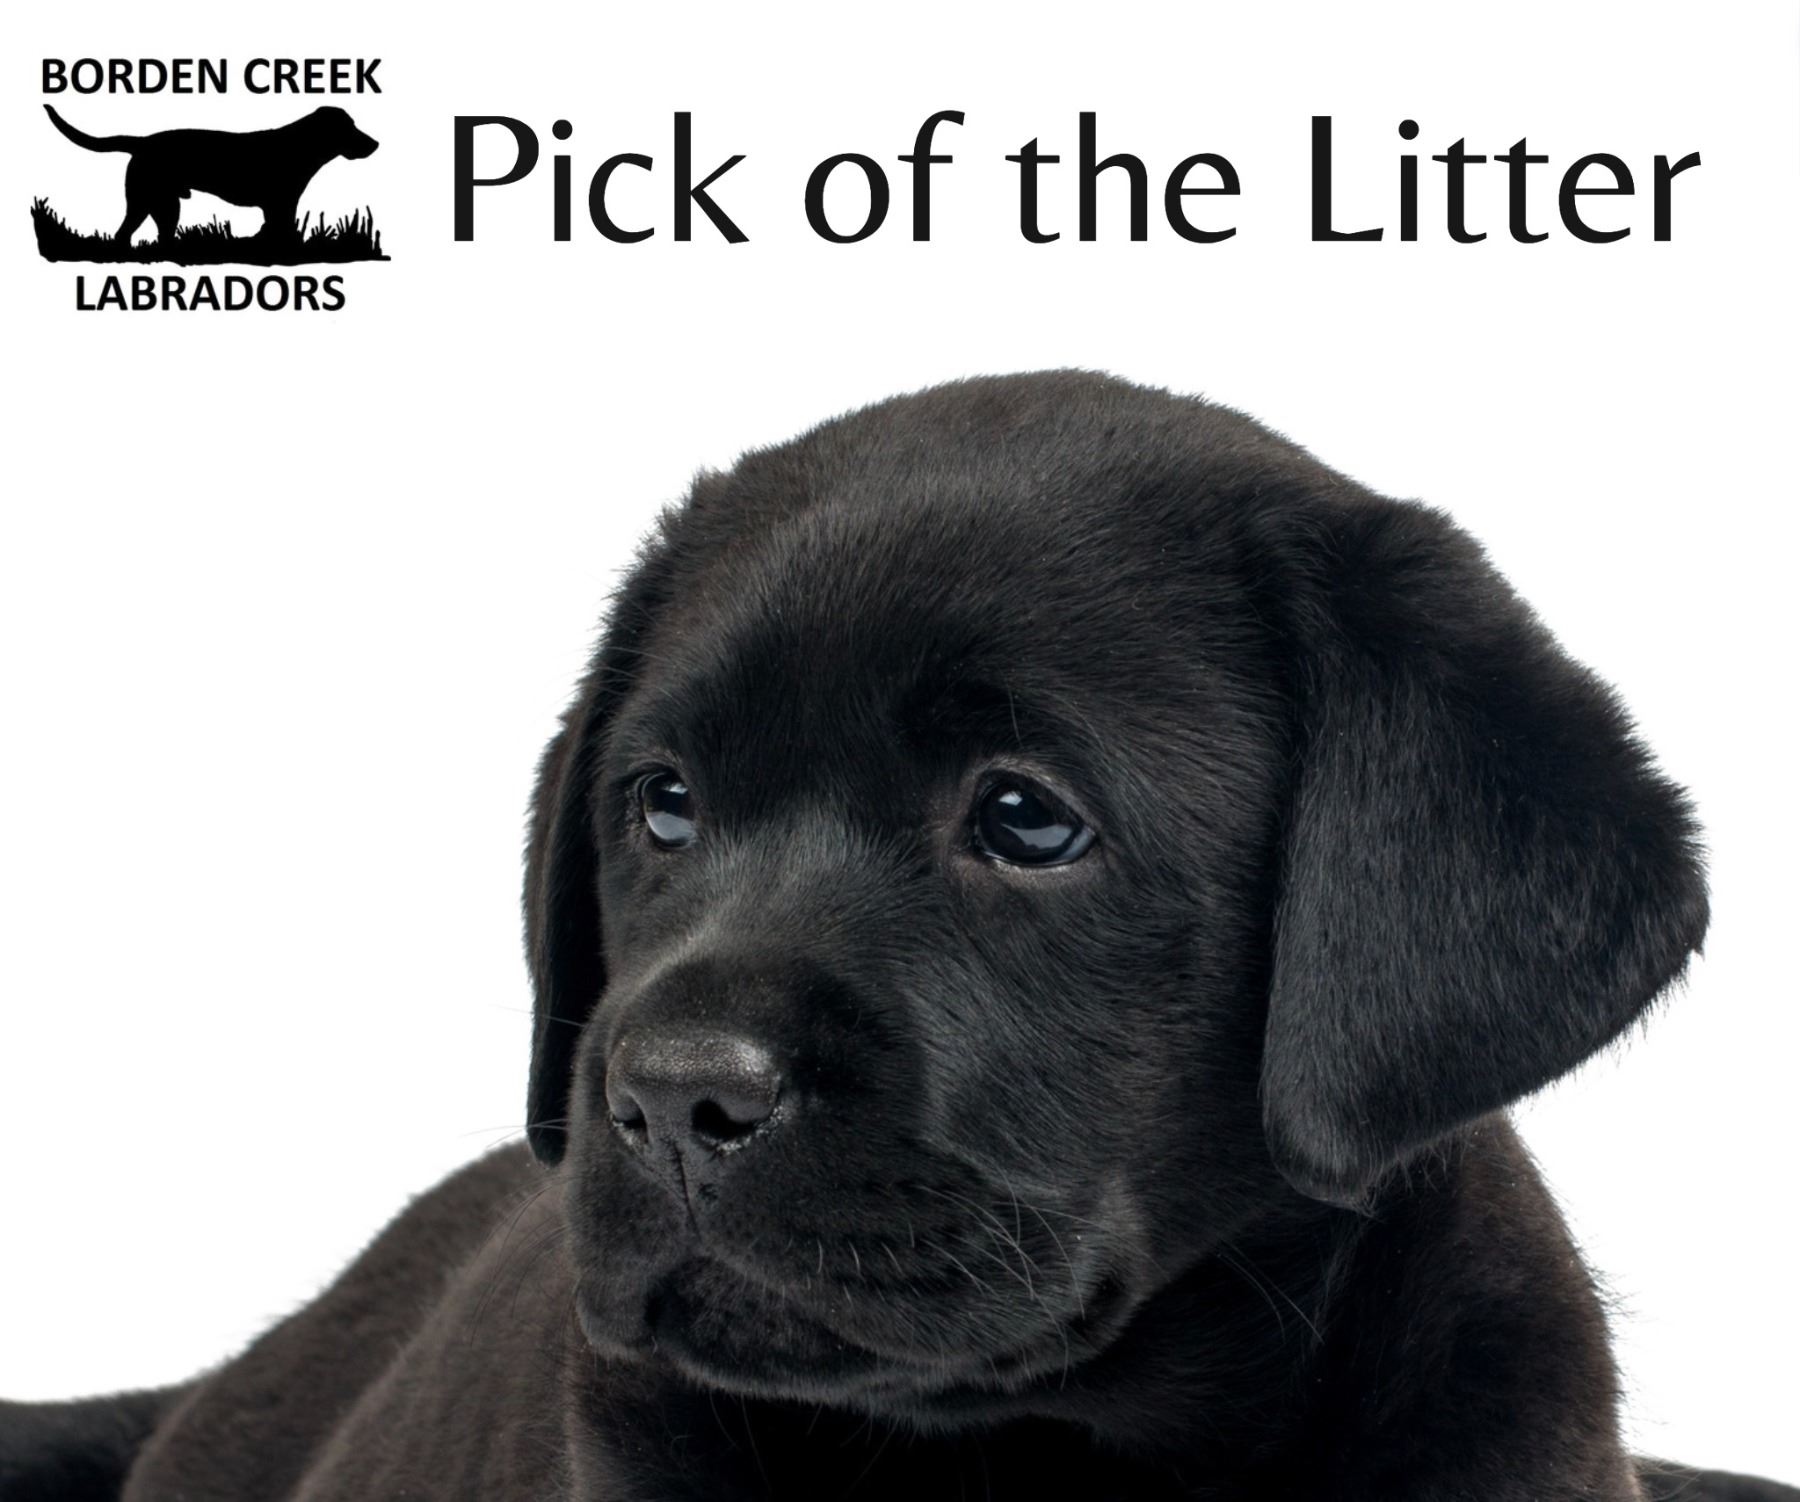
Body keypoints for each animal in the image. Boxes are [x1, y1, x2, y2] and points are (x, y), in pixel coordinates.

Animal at [43, 104, 377, 247]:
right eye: (350, 127)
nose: (375, 144)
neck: (299, 146)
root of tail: (143, 141)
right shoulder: (280, 203)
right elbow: (281, 231)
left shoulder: (276, 206)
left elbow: (273, 230)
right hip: (151, 201)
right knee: (126, 234)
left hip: (159, 205)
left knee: (144, 235)